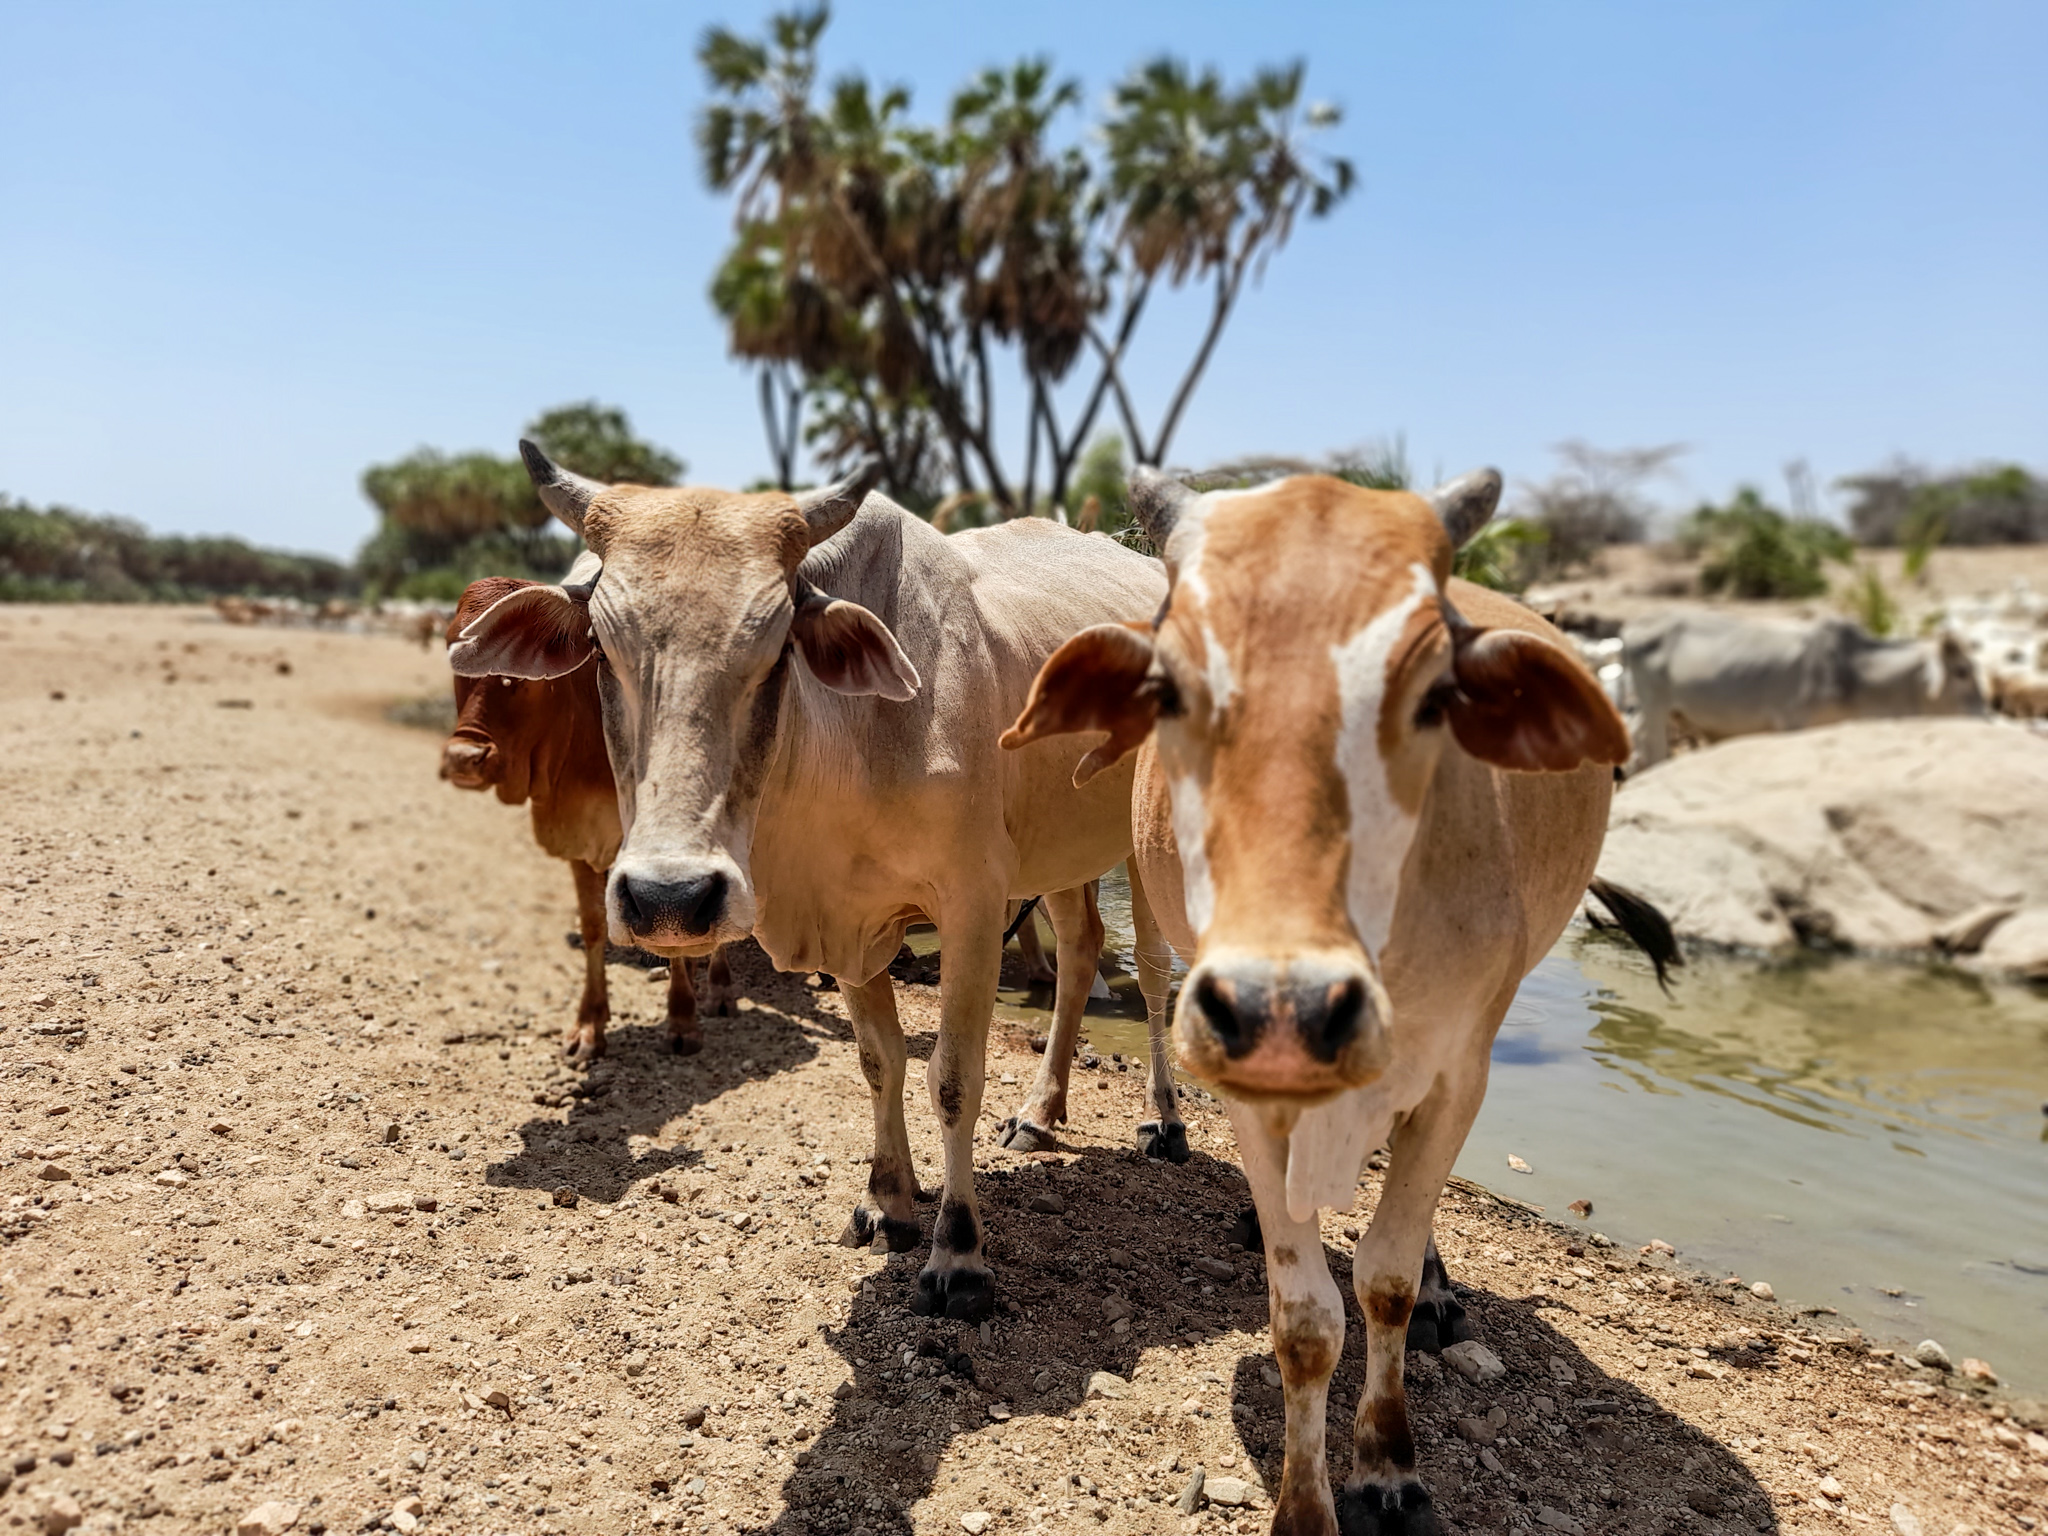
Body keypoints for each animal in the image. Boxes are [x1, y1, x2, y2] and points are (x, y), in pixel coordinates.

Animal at [440, 565, 737, 1073]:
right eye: (448, 646)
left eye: (520, 678)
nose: (463, 758)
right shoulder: (581, 845)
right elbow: (594, 926)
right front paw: (589, 1027)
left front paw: (682, 1021)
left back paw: (717, 988)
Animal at [999, 468, 1654, 1536]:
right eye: (1167, 689)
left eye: (1433, 695)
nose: (1288, 1007)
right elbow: (1306, 1320)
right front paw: (1306, 1504)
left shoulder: (1455, 1073)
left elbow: (1382, 1280)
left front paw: (1387, 1462)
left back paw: (1435, 1286)